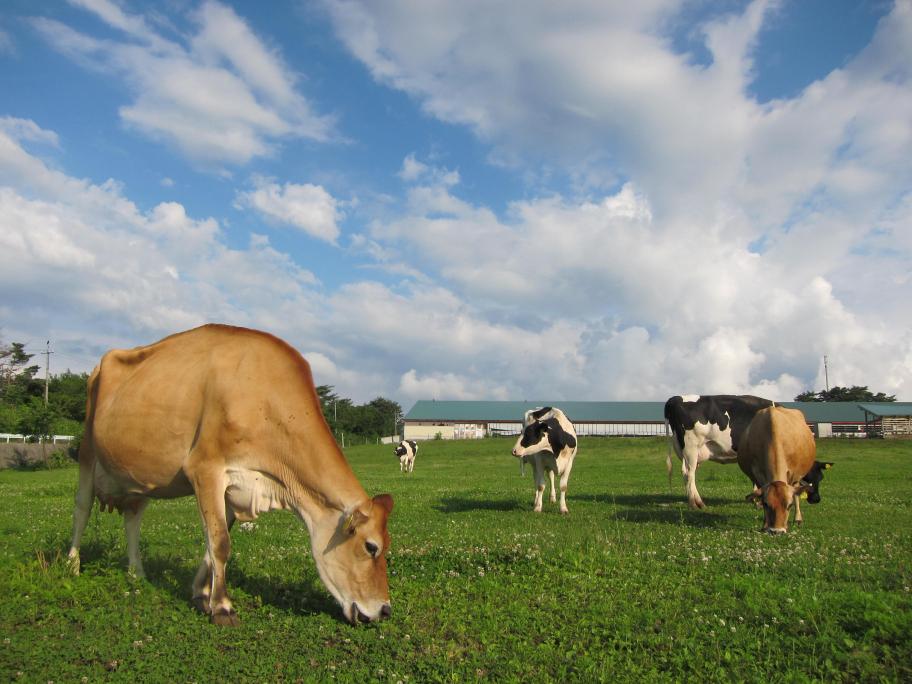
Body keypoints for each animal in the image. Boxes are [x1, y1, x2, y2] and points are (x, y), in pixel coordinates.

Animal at [64, 324, 392, 624]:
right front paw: (222, 607)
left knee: (133, 517)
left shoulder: (238, 487)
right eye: (371, 547)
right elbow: (220, 542)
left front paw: (201, 595)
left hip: (140, 475)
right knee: (82, 508)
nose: (385, 610)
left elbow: (213, 543)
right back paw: (72, 566)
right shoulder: (205, 468)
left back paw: (137, 573)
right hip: (88, 449)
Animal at [736, 406, 816, 536]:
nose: (777, 531)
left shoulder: (793, 474)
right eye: (766, 504)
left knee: (797, 494)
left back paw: (798, 518)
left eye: (789, 505)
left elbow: (795, 495)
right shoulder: (758, 475)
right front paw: (765, 525)